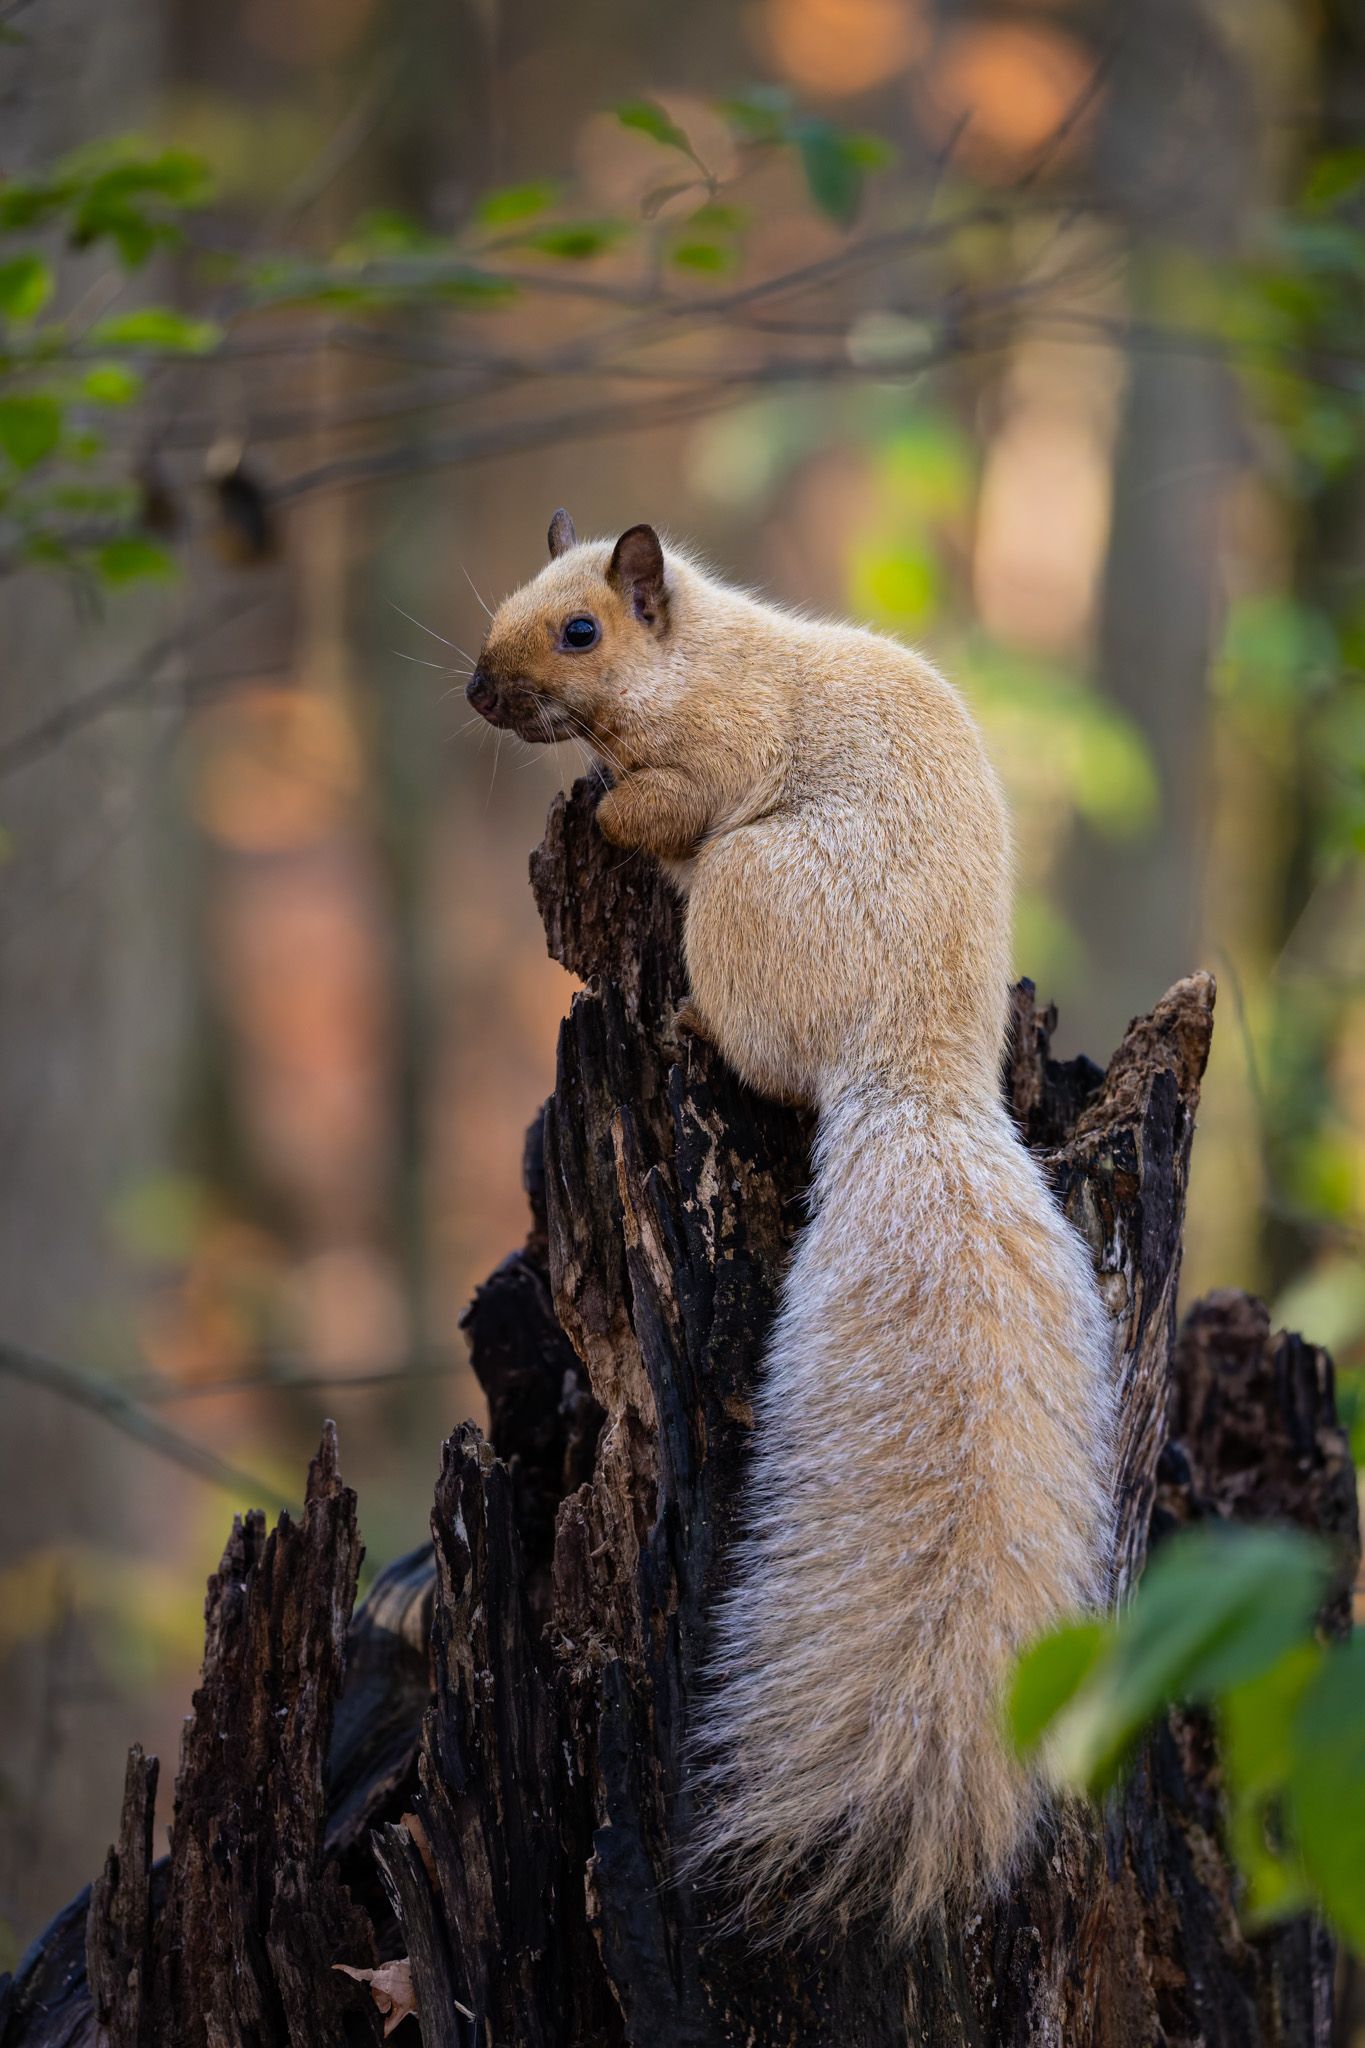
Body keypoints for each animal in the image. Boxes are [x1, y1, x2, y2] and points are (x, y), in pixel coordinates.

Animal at [465, 509, 1116, 1939]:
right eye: (503, 606)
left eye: (582, 630)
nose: (478, 694)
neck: (693, 661)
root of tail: (917, 1067)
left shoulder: (718, 756)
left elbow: (652, 806)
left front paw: (596, 802)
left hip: (745, 890)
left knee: (763, 1049)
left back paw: (694, 1024)